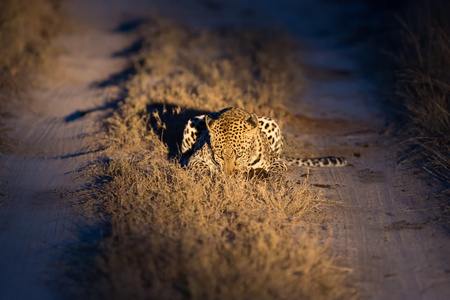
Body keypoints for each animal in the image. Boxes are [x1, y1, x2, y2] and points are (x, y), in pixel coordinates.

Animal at [180, 107, 348, 177]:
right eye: (220, 156)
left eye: (239, 155)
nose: (228, 175)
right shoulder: (196, 158)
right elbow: (201, 166)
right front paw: (211, 174)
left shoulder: (277, 161)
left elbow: (277, 168)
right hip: (195, 120)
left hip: (272, 124)